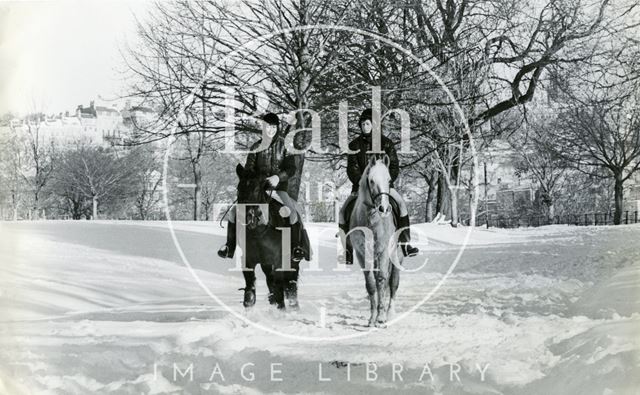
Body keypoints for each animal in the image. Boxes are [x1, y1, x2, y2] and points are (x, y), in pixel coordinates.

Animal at [235, 166, 300, 310]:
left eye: (257, 190)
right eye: (238, 188)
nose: (247, 217)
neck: (259, 232)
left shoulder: (278, 262)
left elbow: (280, 289)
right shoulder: (248, 261)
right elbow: (250, 291)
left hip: (292, 261)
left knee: (291, 283)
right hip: (266, 264)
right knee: (271, 283)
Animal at [348, 155, 402, 328]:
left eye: (389, 180)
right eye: (371, 181)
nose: (383, 209)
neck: (372, 222)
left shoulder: (384, 251)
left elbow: (382, 280)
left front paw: (381, 317)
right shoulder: (362, 254)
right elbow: (371, 284)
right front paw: (372, 318)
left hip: (396, 256)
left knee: (393, 284)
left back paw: (390, 313)